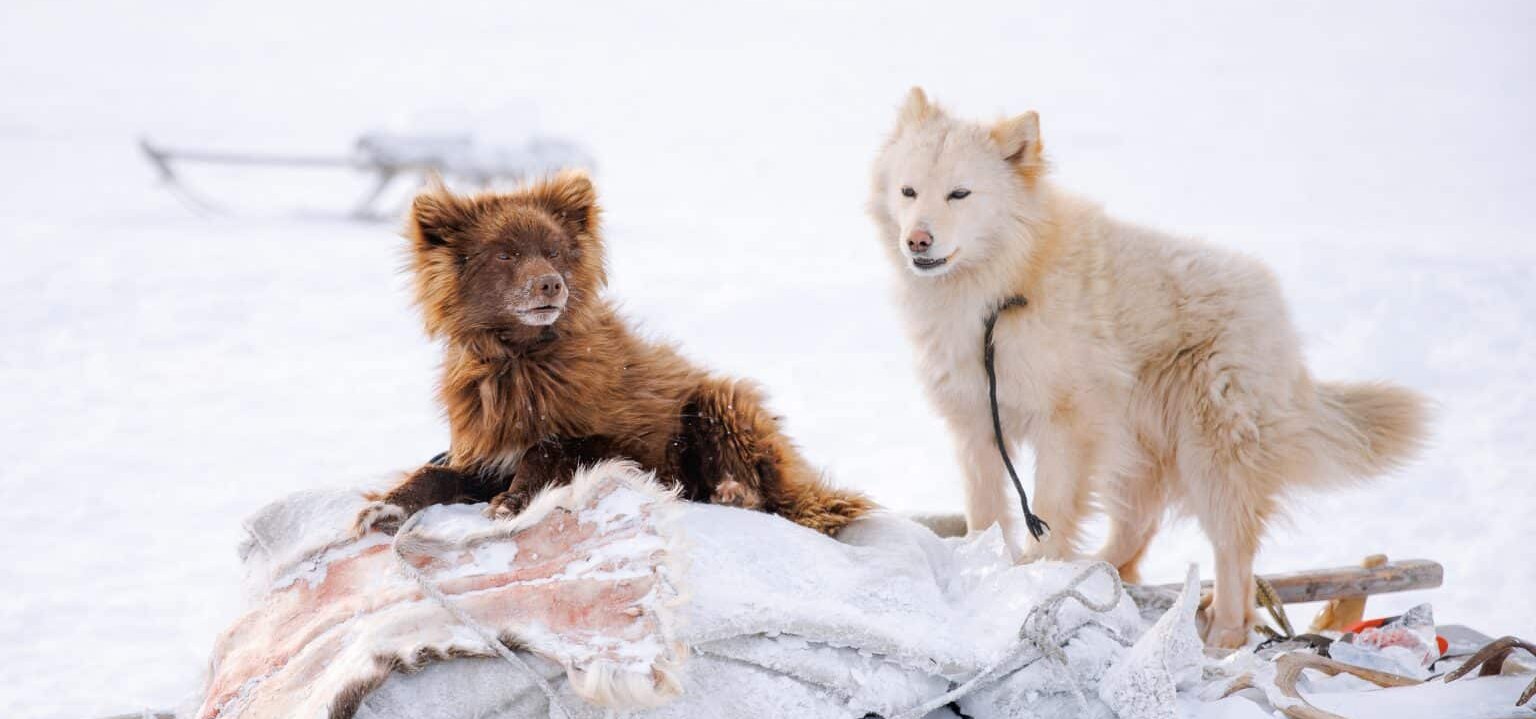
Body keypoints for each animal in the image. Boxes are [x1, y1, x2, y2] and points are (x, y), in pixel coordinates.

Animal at [351, 171, 872, 537]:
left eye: (554, 251)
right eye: (504, 255)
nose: (550, 284)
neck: (523, 360)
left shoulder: (634, 444)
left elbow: (549, 447)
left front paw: (514, 501)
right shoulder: (482, 452)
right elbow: (433, 473)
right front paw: (386, 506)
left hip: (719, 399)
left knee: (768, 493)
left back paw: (732, 492)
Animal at [872, 88, 1419, 645]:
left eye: (959, 194)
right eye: (909, 191)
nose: (917, 241)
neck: (1006, 281)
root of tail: (1276, 311)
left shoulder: (1065, 426)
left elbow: (1049, 508)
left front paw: (1034, 577)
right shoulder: (978, 422)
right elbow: (985, 512)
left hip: (1210, 453)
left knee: (1234, 553)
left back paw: (1224, 634)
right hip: (1134, 444)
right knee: (1140, 527)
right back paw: (1100, 575)